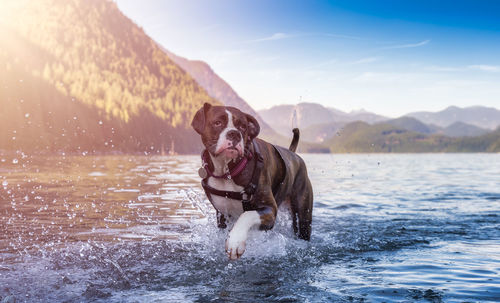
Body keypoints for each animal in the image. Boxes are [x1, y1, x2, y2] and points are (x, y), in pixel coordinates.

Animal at [191, 103, 312, 260]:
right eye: (217, 123)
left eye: (243, 126)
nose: (234, 134)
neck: (228, 170)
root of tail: (294, 154)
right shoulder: (222, 215)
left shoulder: (269, 210)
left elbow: (247, 215)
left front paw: (235, 241)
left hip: (303, 215)